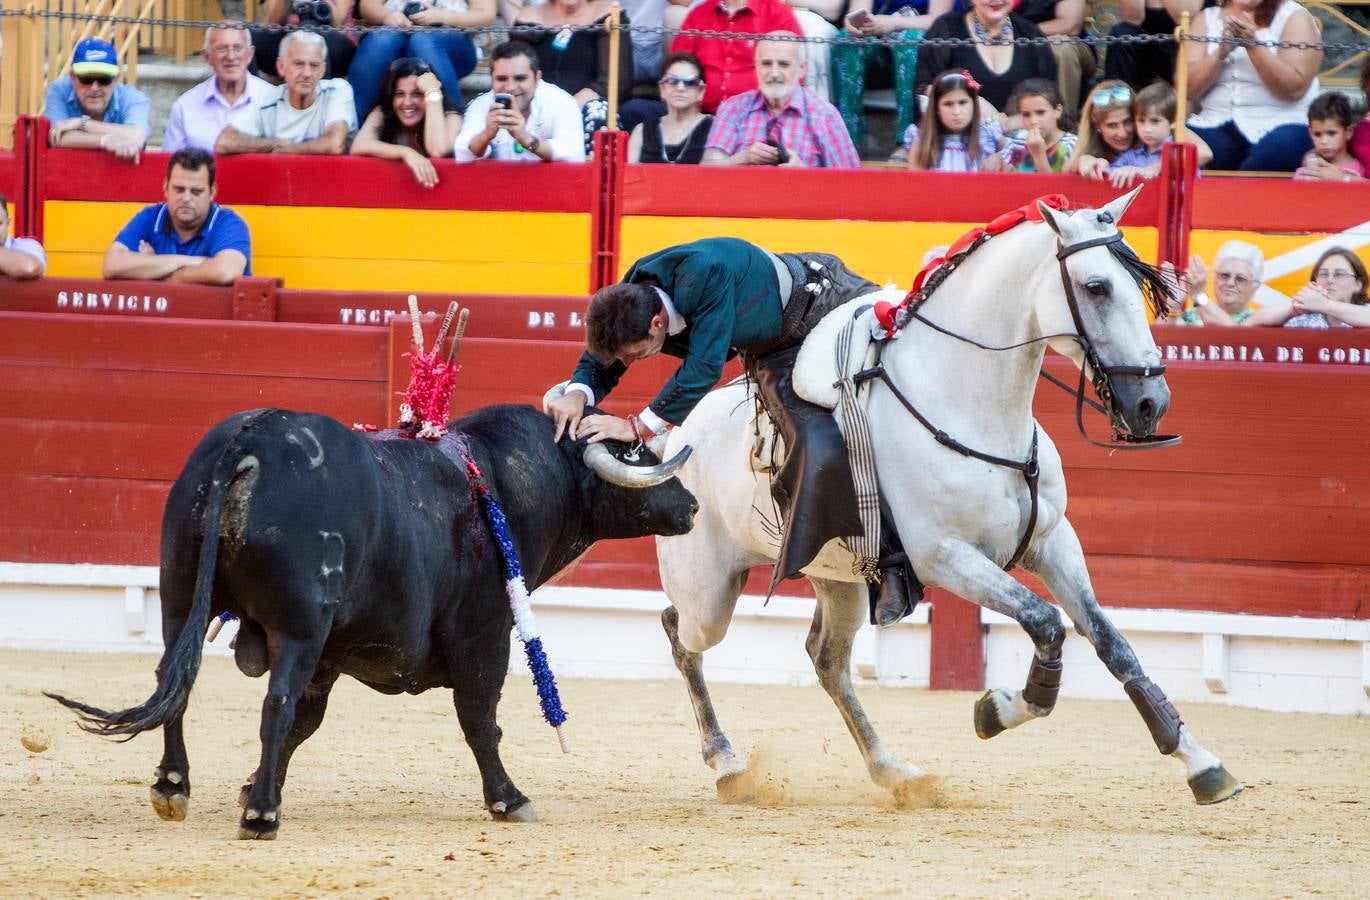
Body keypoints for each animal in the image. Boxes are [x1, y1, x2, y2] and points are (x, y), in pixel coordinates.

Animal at [48, 402, 695, 838]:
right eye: (634, 452)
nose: (689, 505)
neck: (504, 479)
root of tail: (249, 440)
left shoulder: (330, 656)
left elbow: (306, 725)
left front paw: (253, 784)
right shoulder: (485, 637)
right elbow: (480, 722)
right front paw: (508, 799)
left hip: (181, 600)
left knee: (173, 683)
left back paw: (173, 786)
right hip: (298, 629)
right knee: (273, 702)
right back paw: (261, 817)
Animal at [649, 191, 1243, 805]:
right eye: (1097, 286)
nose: (1151, 402)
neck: (971, 403)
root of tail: (678, 435)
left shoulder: (1054, 542)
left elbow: (1110, 640)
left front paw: (1200, 762)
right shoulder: (946, 556)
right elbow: (1046, 621)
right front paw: (998, 709)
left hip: (837, 579)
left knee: (827, 660)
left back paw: (893, 770)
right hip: (709, 593)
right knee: (680, 633)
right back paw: (727, 762)